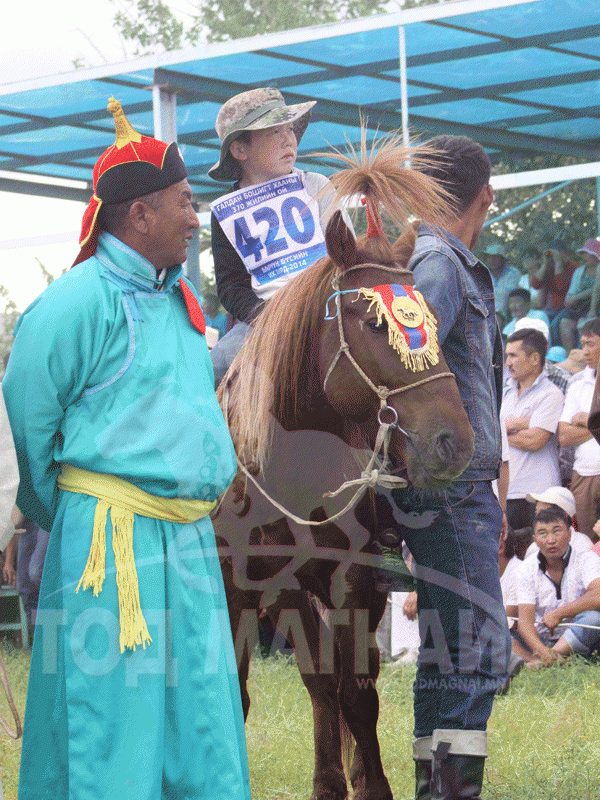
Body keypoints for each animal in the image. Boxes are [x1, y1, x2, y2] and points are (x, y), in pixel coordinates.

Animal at [214, 139, 474, 800]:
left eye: (433, 318)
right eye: (373, 320)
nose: (452, 442)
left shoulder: (351, 577)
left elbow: (355, 691)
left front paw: (365, 783)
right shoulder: (257, 583)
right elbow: (300, 681)